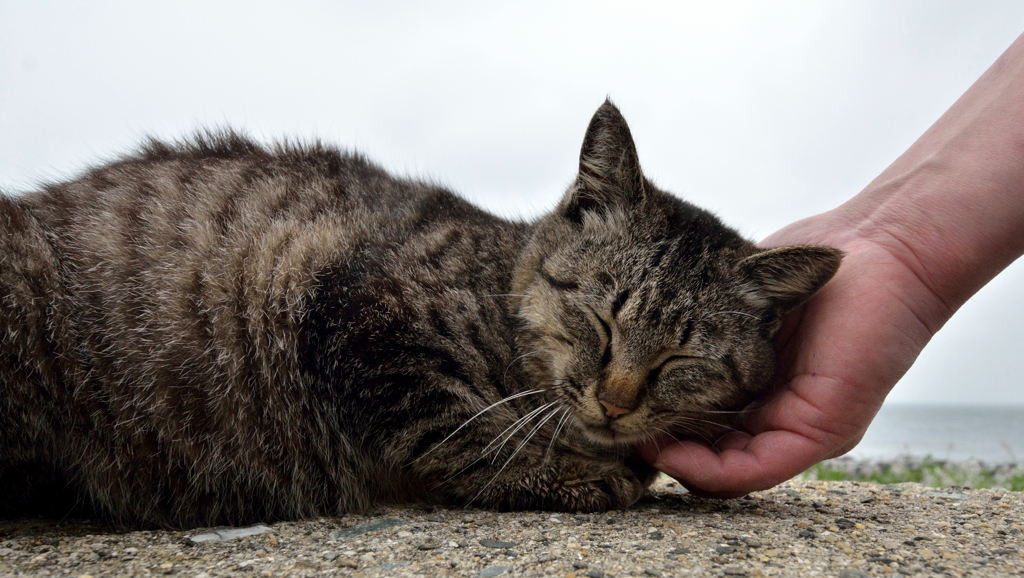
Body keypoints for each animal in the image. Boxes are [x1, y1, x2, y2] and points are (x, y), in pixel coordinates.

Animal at [0, 101, 839, 524]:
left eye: (681, 360)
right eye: (601, 321)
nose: (616, 400)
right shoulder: (361, 320)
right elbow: (466, 432)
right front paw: (573, 474)